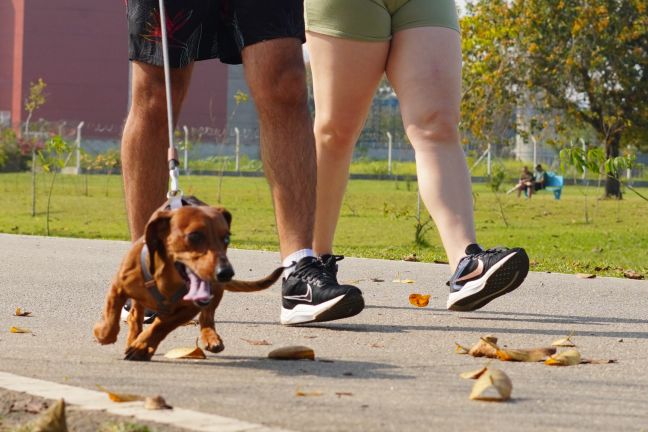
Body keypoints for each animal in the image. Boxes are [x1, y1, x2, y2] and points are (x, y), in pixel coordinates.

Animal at [93, 199, 280, 362]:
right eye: (194, 236)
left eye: (227, 238)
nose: (226, 273)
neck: (168, 279)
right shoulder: (118, 288)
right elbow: (111, 318)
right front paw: (103, 334)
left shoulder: (188, 310)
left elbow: (161, 326)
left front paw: (142, 346)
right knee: (135, 316)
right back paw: (132, 336)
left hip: (214, 294)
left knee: (207, 317)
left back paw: (210, 336)